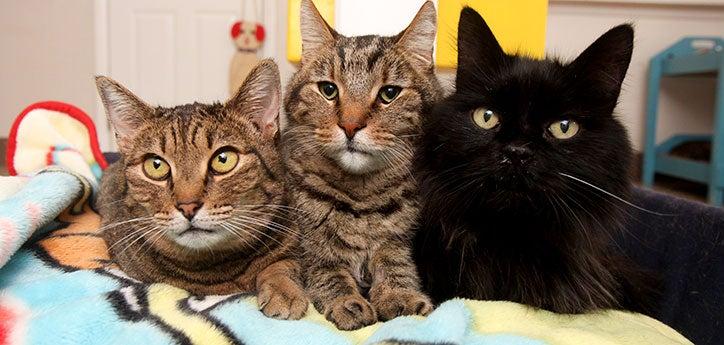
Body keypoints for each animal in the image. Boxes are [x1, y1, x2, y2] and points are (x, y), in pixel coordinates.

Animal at [282, 0, 442, 330]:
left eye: (389, 93)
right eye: (328, 89)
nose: (350, 126)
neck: (363, 197)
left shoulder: (399, 242)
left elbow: (396, 266)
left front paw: (399, 295)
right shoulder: (311, 251)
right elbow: (329, 274)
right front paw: (347, 302)